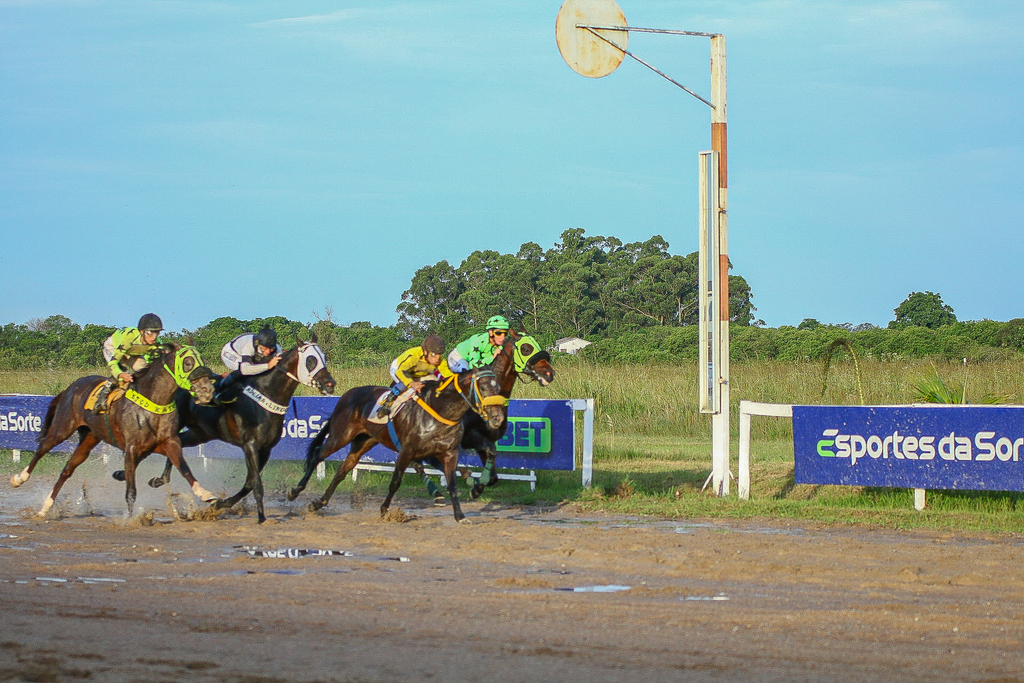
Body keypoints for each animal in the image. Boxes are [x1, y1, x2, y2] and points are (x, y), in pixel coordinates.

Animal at [9, 344, 218, 516]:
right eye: (188, 362)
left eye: (202, 360)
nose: (207, 390)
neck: (153, 402)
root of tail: (70, 388)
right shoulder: (132, 448)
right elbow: (131, 490)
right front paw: (132, 519)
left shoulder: (166, 442)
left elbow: (184, 468)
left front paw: (204, 493)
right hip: (62, 427)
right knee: (42, 448)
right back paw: (19, 478)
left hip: (89, 438)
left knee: (67, 470)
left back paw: (46, 506)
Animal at [141, 339, 335, 528]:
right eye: (311, 360)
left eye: (324, 357)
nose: (330, 384)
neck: (265, 395)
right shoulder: (250, 445)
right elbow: (256, 483)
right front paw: (261, 517)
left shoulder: (265, 449)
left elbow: (249, 483)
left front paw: (219, 505)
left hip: (200, 433)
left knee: (177, 445)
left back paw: (160, 480)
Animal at [288, 368, 507, 524]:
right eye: (483, 387)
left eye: (498, 388)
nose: (498, 418)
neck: (441, 410)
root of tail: (346, 395)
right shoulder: (407, 451)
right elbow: (396, 481)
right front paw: (385, 510)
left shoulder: (449, 453)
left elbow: (452, 484)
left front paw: (460, 515)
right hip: (340, 435)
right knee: (318, 455)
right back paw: (295, 491)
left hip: (363, 442)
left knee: (342, 470)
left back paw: (319, 503)